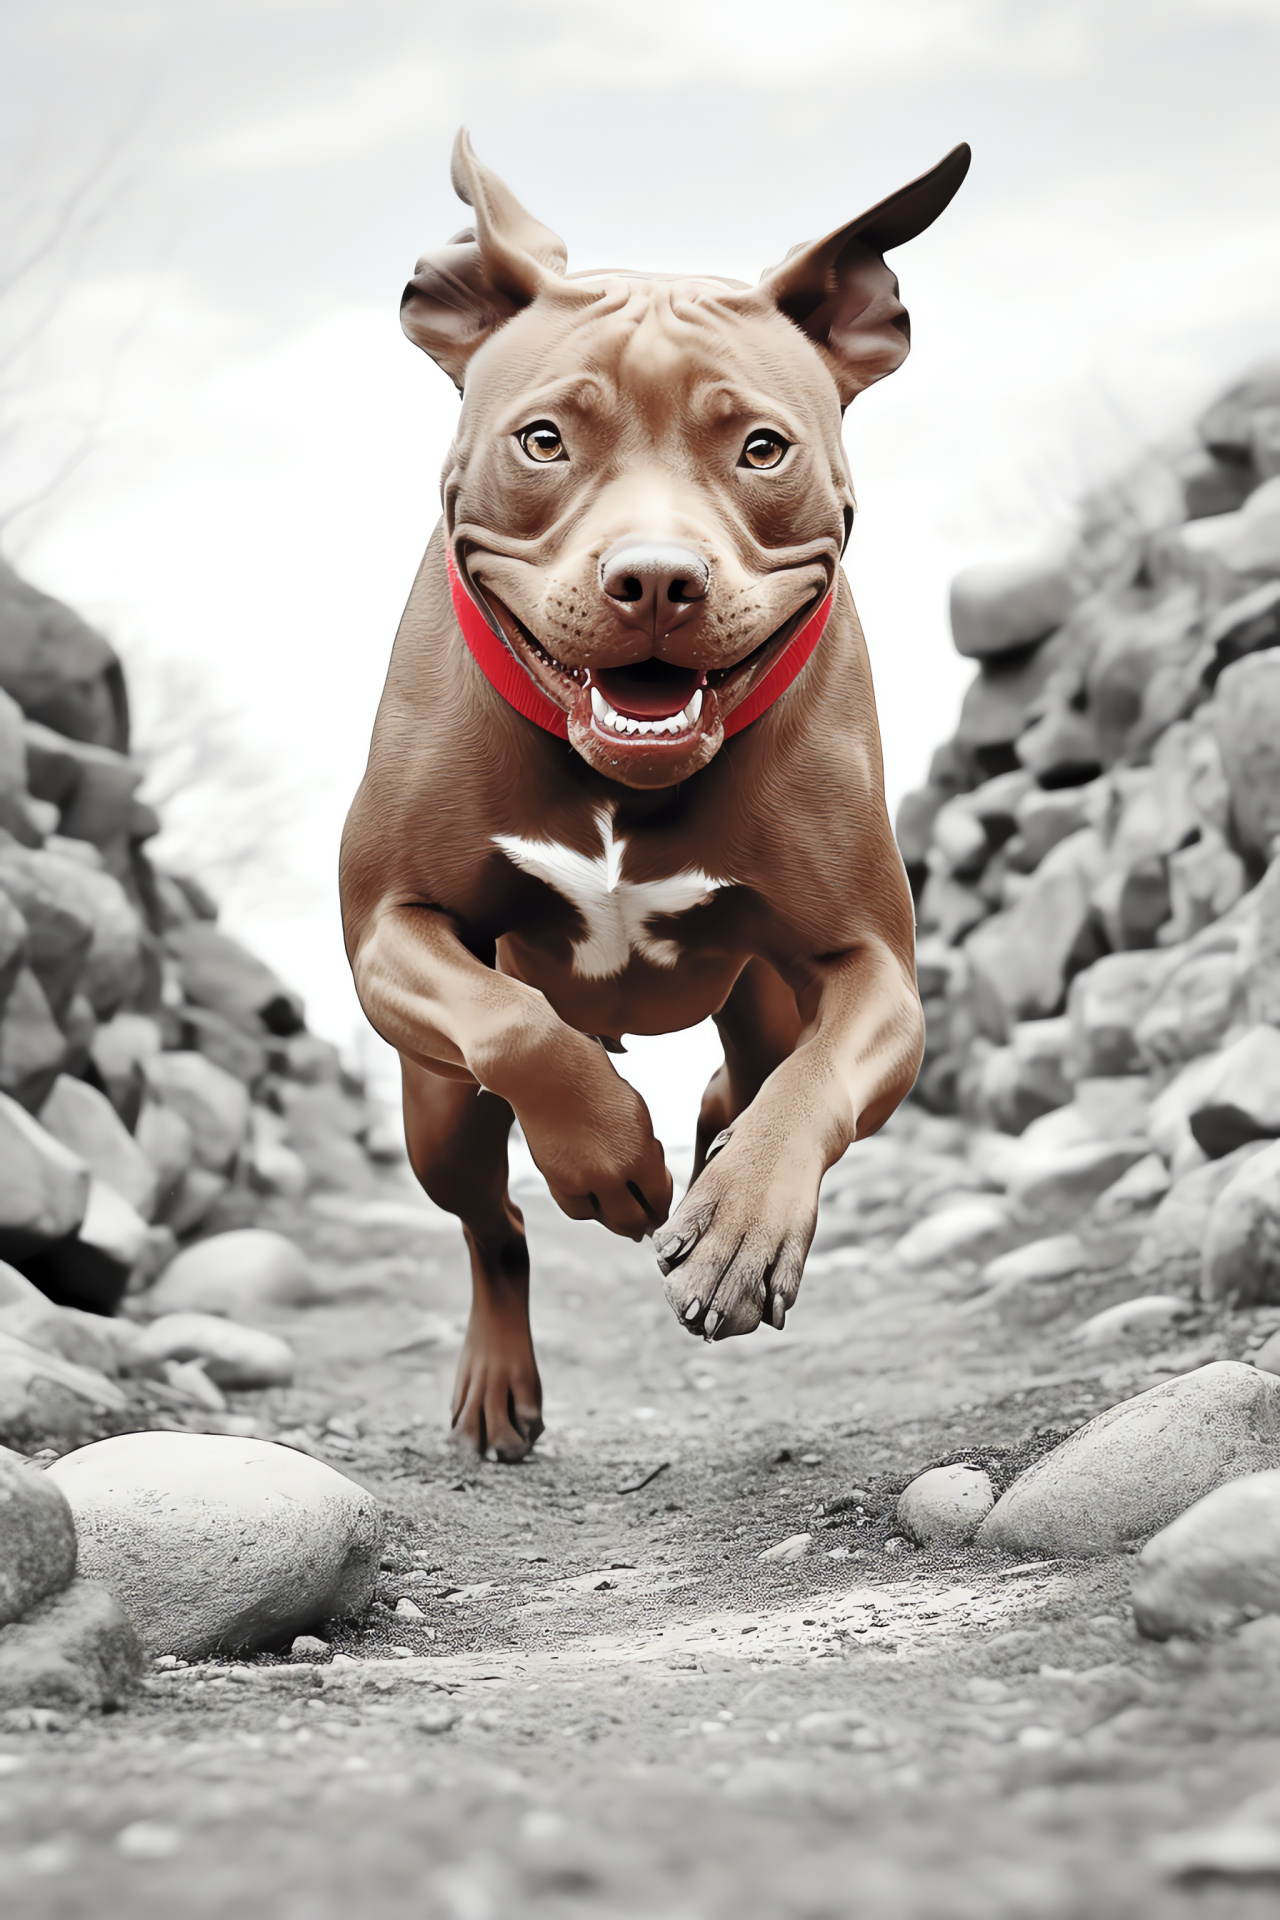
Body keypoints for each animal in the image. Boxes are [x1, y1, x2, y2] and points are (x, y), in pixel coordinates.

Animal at [343, 131, 971, 1451]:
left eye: (760, 448)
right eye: (543, 441)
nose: (654, 579)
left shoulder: (871, 971)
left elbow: (816, 1085)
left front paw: (736, 1223)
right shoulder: (386, 930)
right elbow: (511, 1025)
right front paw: (604, 1155)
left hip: (769, 997)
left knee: (754, 1071)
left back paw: (716, 1140)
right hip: (438, 1115)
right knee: (491, 1220)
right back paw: (501, 1377)